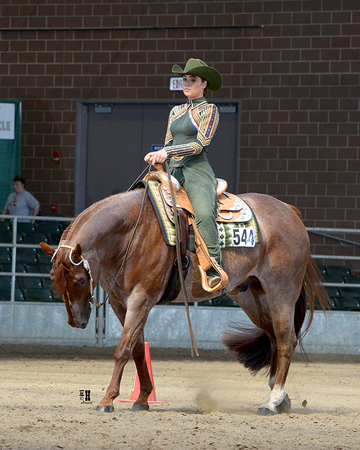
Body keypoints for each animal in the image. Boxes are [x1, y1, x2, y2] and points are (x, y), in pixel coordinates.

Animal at [40, 185, 328, 414]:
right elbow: (137, 348)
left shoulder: (141, 299)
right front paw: (143, 398)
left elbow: (123, 350)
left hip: (281, 292)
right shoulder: (120, 303)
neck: (131, 232)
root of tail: (289, 211)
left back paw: (272, 401)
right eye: (54, 282)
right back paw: (280, 398)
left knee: (286, 341)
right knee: (274, 339)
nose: (77, 322)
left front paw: (107, 400)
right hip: (253, 296)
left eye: (79, 281)